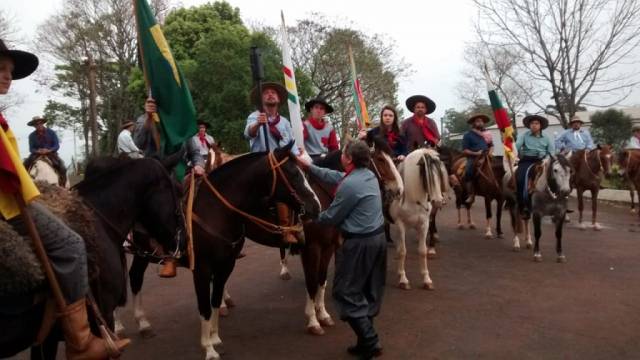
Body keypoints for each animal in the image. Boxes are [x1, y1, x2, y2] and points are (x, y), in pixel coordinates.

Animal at [388, 148, 448, 292]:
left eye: (439, 173)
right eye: (427, 175)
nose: (438, 202)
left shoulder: (424, 224)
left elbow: (422, 251)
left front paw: (426, 279)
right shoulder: (400, 225)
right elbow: (403, 251)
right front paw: (403, 279)